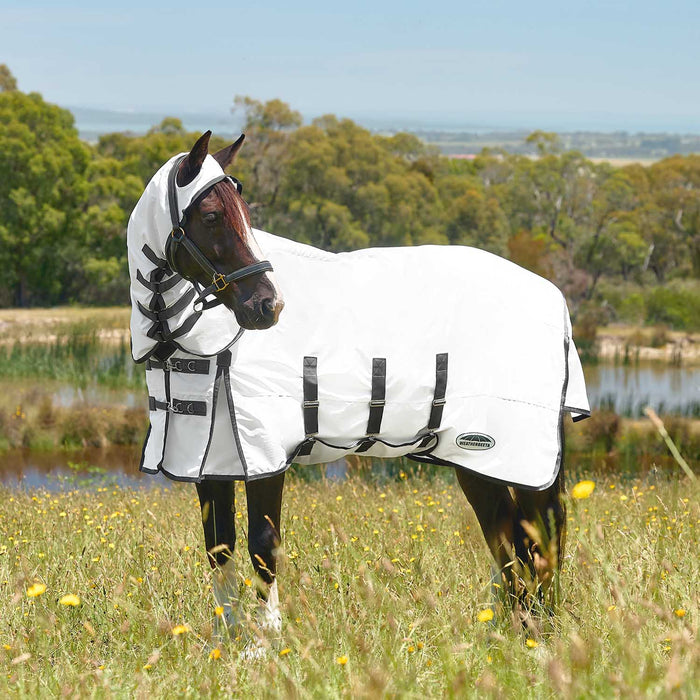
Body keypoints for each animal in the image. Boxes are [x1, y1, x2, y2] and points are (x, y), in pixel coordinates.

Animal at [128, 130, 587, 644]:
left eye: (246, 214)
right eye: (210, 216)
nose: (268, 307)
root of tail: (554, 298)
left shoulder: (265, 457)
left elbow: (263, 546)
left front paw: (265, 645)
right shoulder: (212, 463)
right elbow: (219, 549)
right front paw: (227, 642)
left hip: (512, 457)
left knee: (537, 537)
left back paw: (536, 633)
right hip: (473, 460)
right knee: (508, 535)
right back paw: (515, 629)